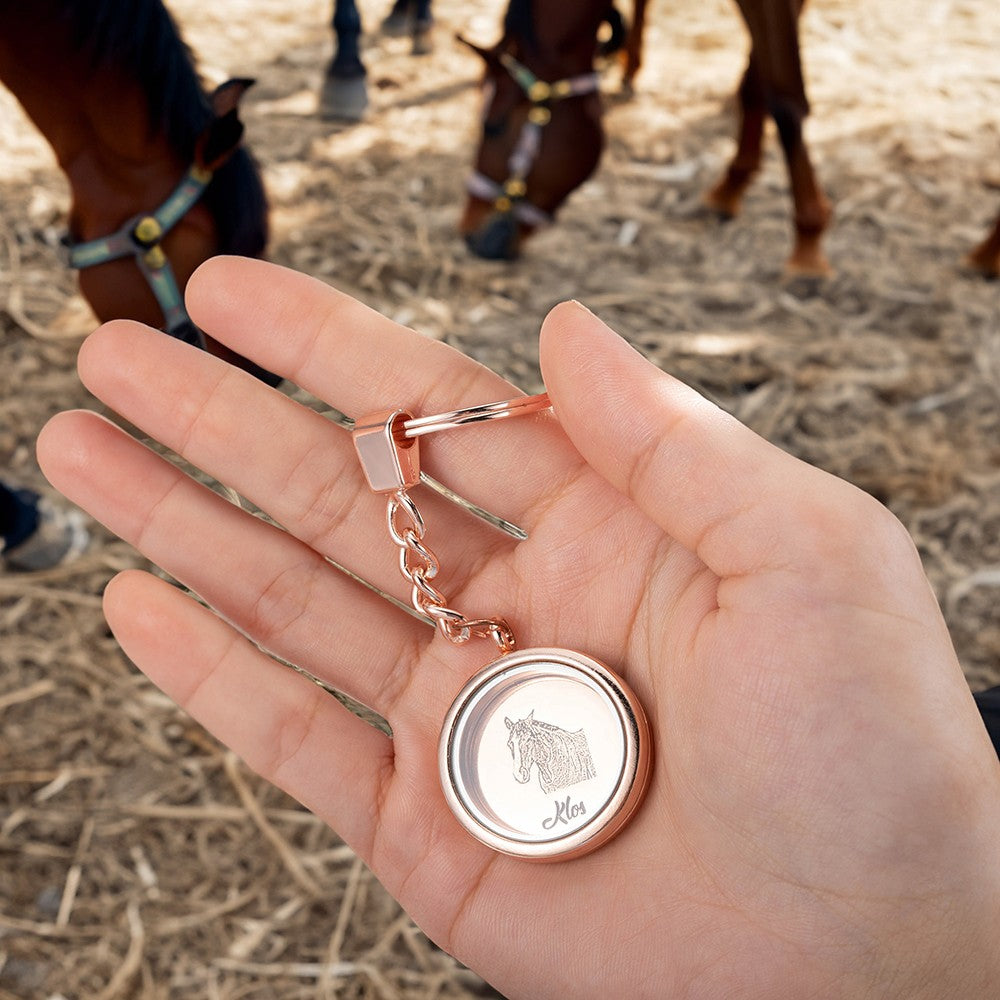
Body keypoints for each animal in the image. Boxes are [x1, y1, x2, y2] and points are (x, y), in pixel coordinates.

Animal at [458, 0, 832, 276]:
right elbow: (755, 84)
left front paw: (807, 251)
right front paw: (728, 190)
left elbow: (783, 100)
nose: (468, 233)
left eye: (493, 126)